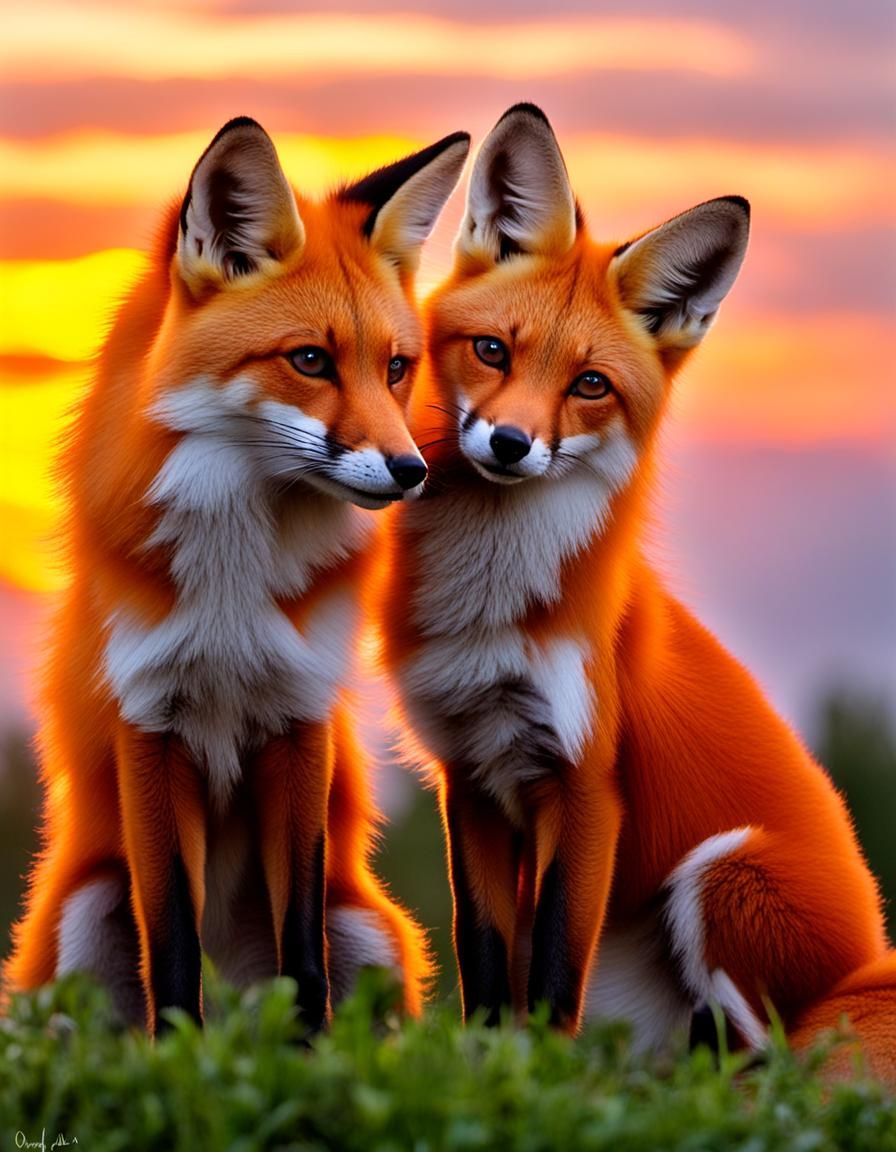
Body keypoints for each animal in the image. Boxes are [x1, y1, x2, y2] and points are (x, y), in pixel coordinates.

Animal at [3, 117, 470, 1034]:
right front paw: (179, 1053)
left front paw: (304, 1057)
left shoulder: (298, 722)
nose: (411, 472)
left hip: (369, 929)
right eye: (311, 361)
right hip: (81, 916)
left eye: (397, 368)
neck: (230, 587)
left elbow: (302, 954)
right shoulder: (149, 727)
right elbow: (174, 948)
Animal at [376, 104, 896, 1082]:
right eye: (492, 351)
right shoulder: (472, 777)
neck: (491, 611)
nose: (510, 445)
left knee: (764, 1065)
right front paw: (490, 1070)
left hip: (722, 876)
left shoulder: (585, 787)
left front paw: (538, 1086)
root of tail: (869, 963)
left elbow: (549, 974)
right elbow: (487, 962)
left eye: (590, 385)